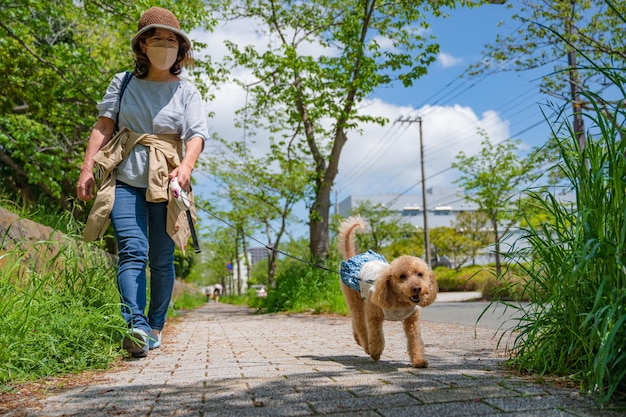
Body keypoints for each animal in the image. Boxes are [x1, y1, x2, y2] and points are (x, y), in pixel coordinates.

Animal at [338, 216, 436, 366]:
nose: (417, 288)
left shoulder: (412, 321)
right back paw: (366, 346)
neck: (400, 301)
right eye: (402, 276)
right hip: (355, 299)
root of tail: (352, 257)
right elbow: (376, 337)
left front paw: (419, 361)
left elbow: (415, 340)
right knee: (360, 323)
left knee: (356, 323)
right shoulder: (374, 317)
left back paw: (358, 340)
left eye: (420, 274)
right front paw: (375, 353)